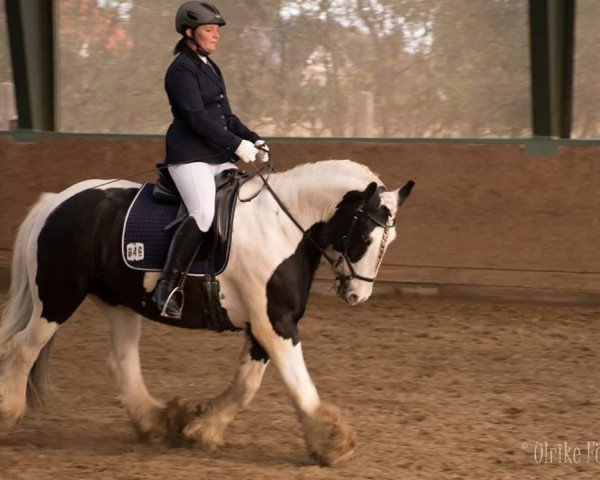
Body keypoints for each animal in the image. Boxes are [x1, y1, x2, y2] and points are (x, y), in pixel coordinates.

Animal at [0, 159, 412, 466]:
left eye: (389, 240)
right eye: (365, 237)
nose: (358, 294)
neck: (282, 227)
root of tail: (57, 201)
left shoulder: (267, 324)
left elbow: (246, 384)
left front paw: (203, 428)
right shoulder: (275, 323)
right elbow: (298, 384)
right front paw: (332, 441)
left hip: (118, 303)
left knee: (122, 360)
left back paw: (157, 422)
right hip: (57, 298)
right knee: (23, 348)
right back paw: (7, 413)